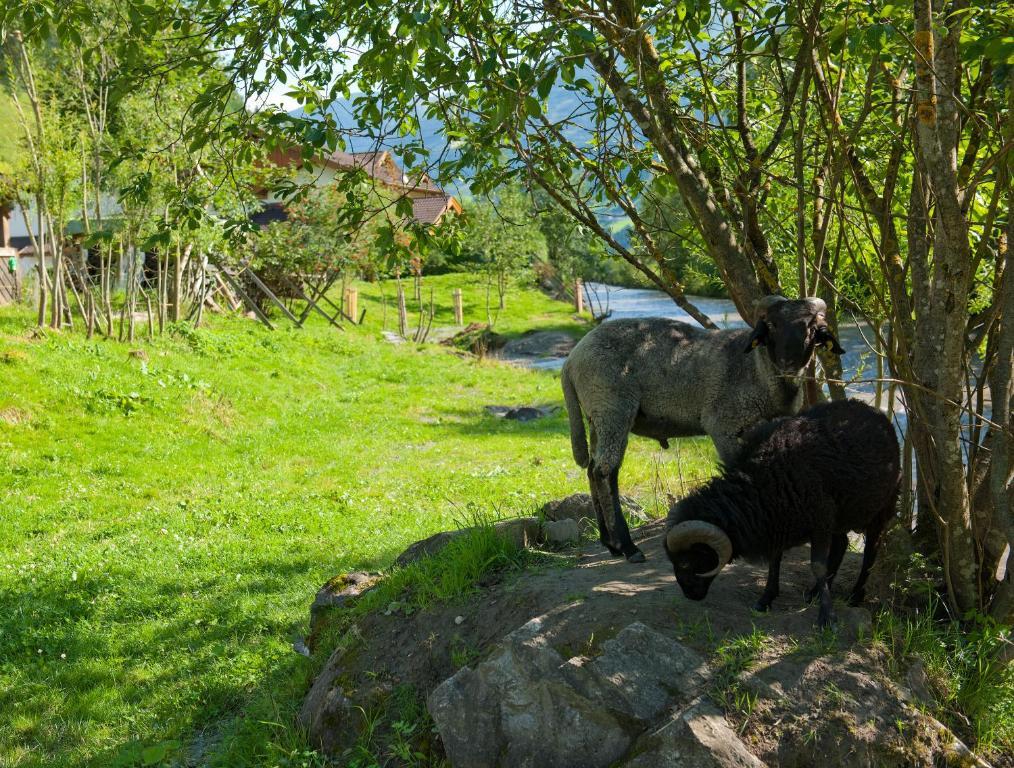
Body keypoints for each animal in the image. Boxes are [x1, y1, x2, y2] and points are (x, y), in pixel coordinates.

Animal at [563, 292, 839, 555]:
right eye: (771, 325)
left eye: (813, 328)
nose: (788, 363)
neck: (756, 368)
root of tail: (572, 359)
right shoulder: (723, 424)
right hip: (613, 406)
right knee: (605, 471)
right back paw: (626, 546)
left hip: (597, 414)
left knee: (592, 469)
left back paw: (609, 543)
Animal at [661, 397, 900, 624]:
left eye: (685, 562)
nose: (690, 595)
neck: (760, 482)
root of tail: (875, 412)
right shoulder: (779, 521)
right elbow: (775, 560)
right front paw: (766, 599)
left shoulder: (819, 520)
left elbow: (817, 566)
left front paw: (827, 617)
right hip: (840, 515)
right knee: (841, 544)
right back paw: (815, 592)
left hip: (882, 507)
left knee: (871, 550)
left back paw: (855, 595)